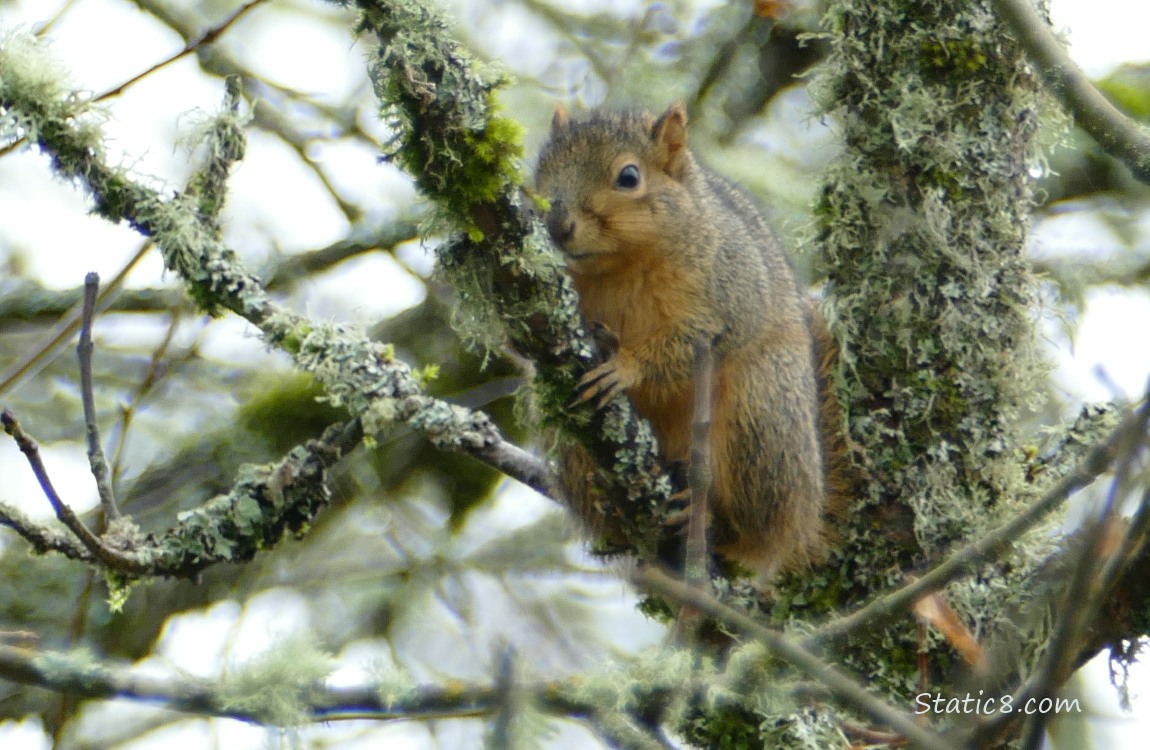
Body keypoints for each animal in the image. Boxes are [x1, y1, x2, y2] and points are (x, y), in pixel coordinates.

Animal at [533, 102, 851, 579]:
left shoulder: (732, 288)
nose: (556, 225)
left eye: (629, 176)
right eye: (540, 170)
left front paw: (624, 366)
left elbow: (692, 344)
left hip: (760, 420)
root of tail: (804, 522)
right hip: (567, 443)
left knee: (751, 534)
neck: (616, 267)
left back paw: (707, 518)